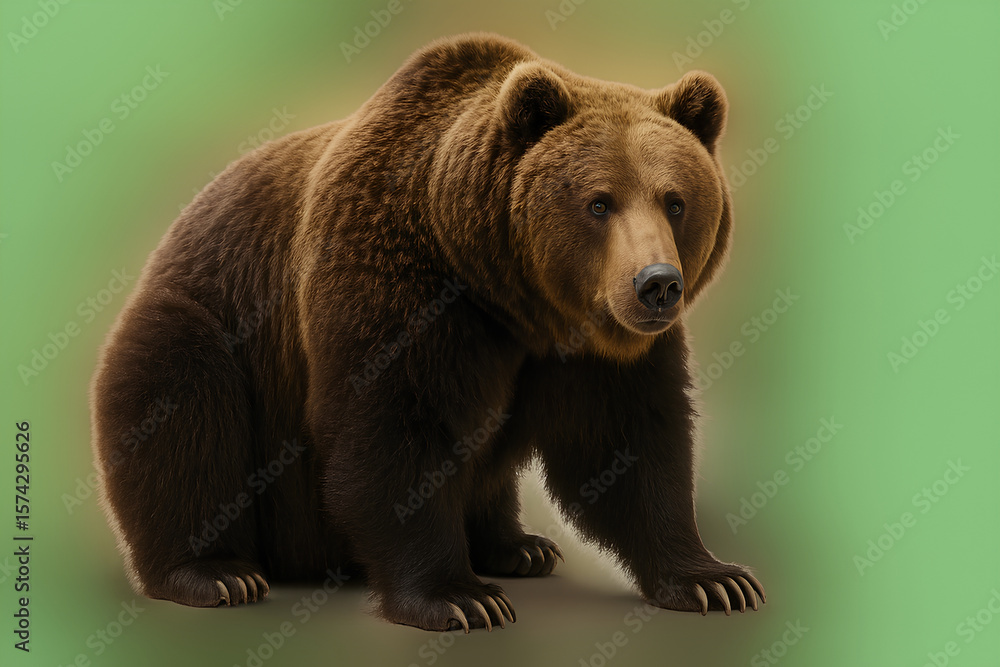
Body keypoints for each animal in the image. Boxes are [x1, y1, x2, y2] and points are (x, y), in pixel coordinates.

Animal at [90, 32, 765, 632]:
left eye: (675, 201)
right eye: (600, 202)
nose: (657, 284)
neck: (510, 295)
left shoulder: (595, 347)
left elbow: (630, 440)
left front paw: (714, 579)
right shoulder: (399, 284)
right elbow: (395, 427)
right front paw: (458, 598)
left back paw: (518, 546)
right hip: (208, 321)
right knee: (182, 405)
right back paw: (215, 572)